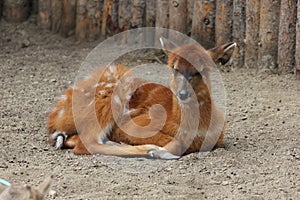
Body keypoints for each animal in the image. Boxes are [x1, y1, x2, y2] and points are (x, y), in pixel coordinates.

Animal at [47, 37, 236, 159]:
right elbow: (175, 142)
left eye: (200, 70)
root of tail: (55, 117)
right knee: (87, 143)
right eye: (174, 68)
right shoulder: (137, 123)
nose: (182, 93)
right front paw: (157, 151)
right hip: (107, 99)